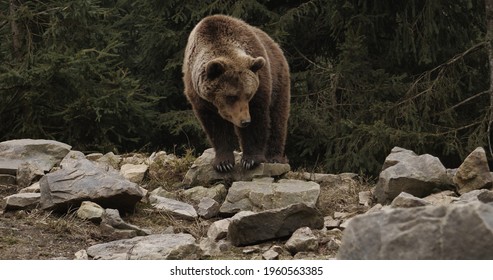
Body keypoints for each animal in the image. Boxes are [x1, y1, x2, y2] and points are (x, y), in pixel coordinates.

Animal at [182, 15, 288, 173]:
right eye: (231, 96)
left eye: (249, 94)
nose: (245, 121)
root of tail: (275, 44)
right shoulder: (198, 95)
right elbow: (215, 126)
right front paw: (223, 163)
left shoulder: (261, 84)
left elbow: (257, 118)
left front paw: (250, 160)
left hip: (278, 78)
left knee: (278, 117)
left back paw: (274, 157)